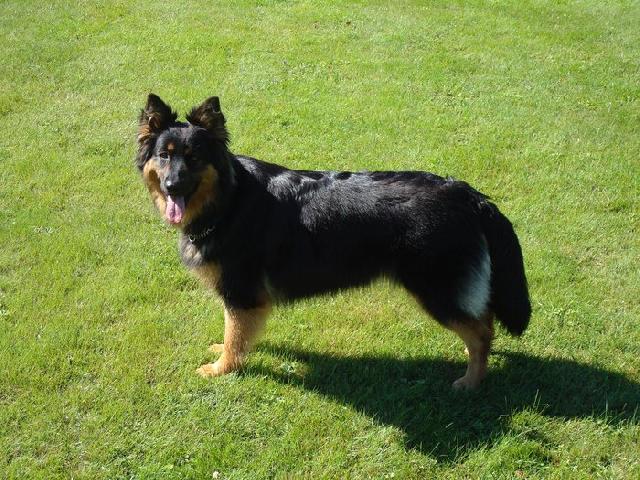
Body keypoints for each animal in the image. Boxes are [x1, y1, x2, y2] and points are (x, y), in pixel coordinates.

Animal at [135, 94, 531, 389]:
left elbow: (235, 336)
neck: (227, 200)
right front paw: (223, 350)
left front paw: (222, 368)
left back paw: (471, 382)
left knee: (480, 333)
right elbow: (233, 332)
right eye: (164, 156)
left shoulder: (241, 293)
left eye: (194, 158)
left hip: (437, 290)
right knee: (485, 321)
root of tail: (467, 194)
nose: (172, 186)